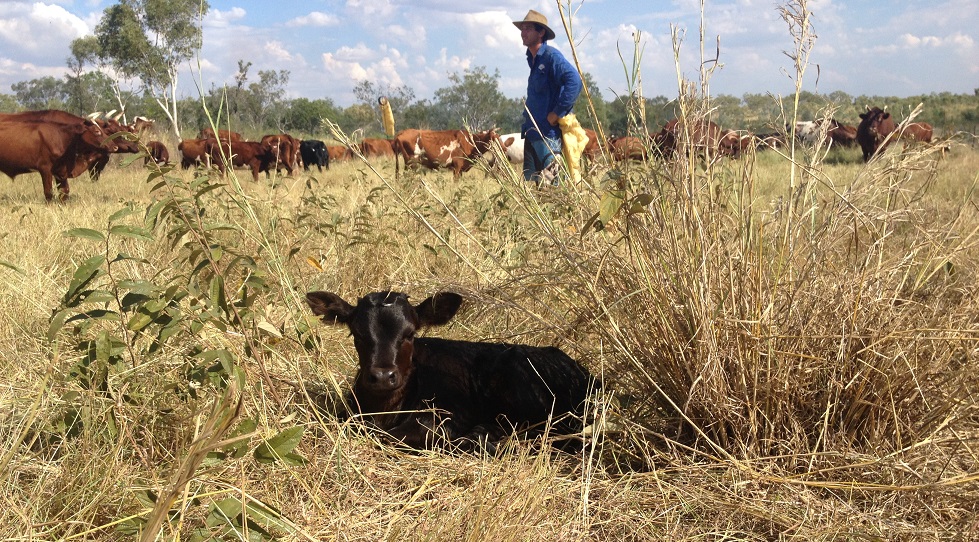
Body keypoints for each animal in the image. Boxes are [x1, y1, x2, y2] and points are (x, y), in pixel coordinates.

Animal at [306, 292, 596, 452]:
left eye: (410, 334)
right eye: (357, 333)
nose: (382, 377)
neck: (384, 409)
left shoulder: (445, 415)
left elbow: (392, 436)